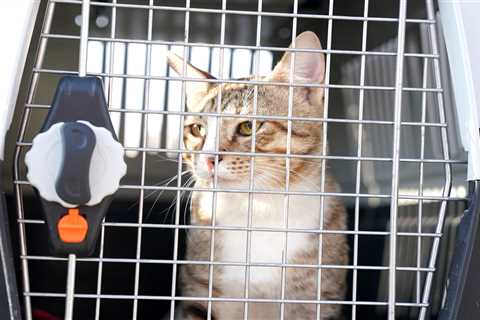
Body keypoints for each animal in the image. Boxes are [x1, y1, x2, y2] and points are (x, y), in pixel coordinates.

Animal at [167, 30, 346, 320]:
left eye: (248, 127)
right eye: (197, 130)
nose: (208, 158)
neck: (258, 208)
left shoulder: (318, 300)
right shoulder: (199, 297)